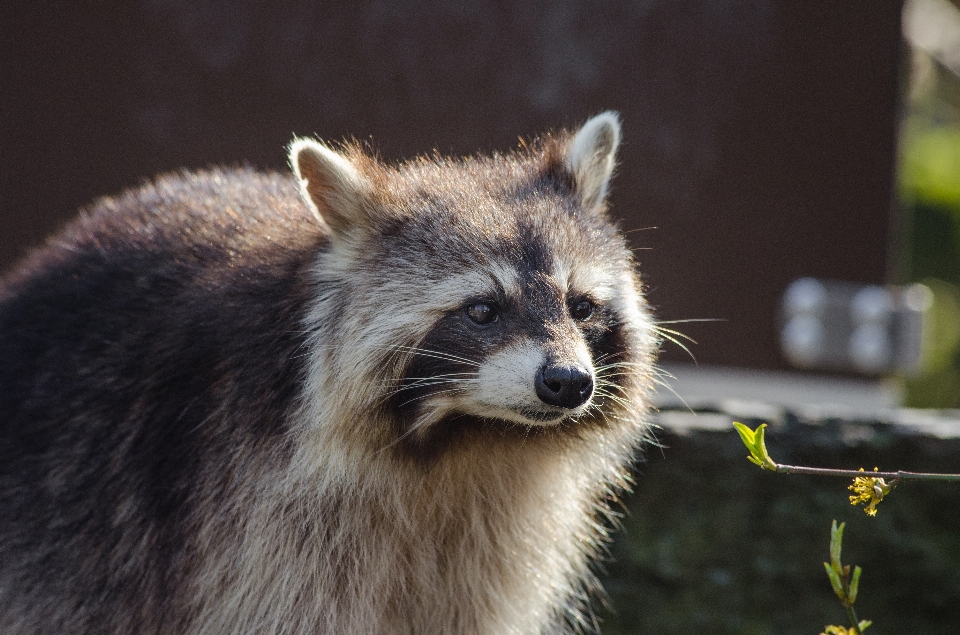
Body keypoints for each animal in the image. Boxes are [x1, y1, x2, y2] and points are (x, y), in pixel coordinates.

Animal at [0, 112, 656, 632]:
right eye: (482, 310)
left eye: (581, 306)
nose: (567, 382)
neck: (465, 438)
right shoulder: (253, 520)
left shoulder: (491, 544)